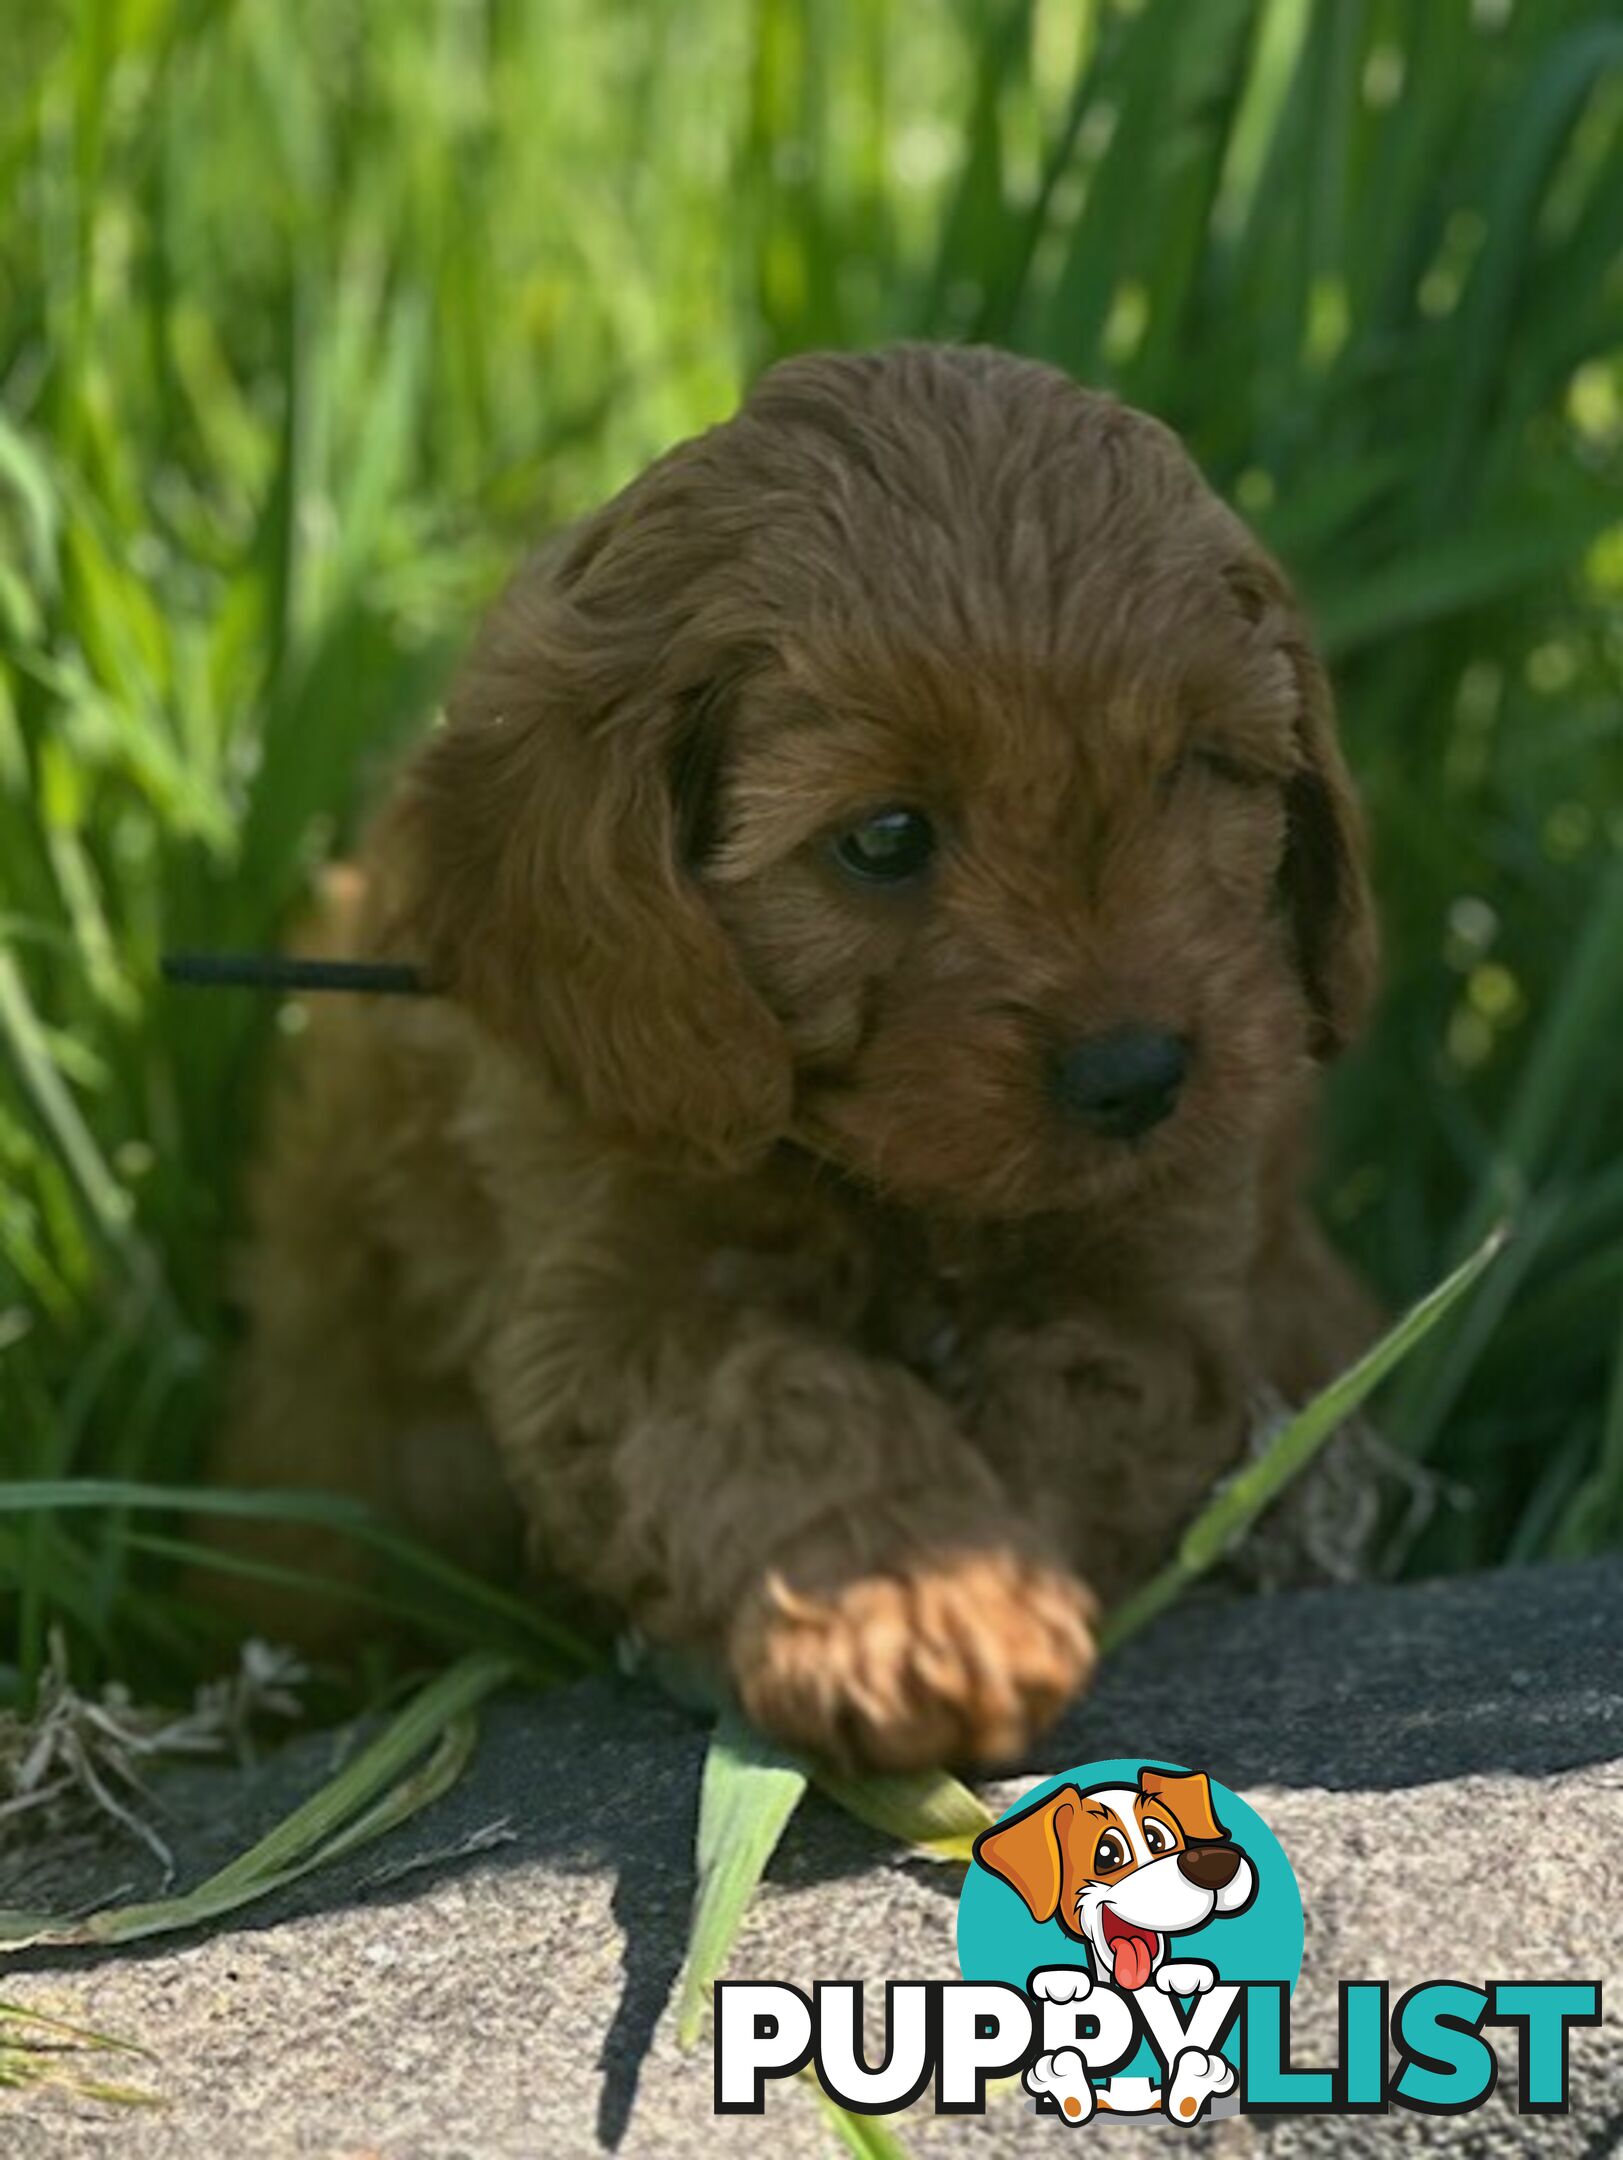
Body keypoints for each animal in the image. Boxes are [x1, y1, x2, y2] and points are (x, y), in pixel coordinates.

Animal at [219, 345, 1374, 1771]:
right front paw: (923, 1605)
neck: (887, 1191)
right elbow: (786, 1398)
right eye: (884, 838)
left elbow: (1080, 1392)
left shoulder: (1167, 1286)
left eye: (1192, 771)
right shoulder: (611, 1296)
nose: (1138, 1075)